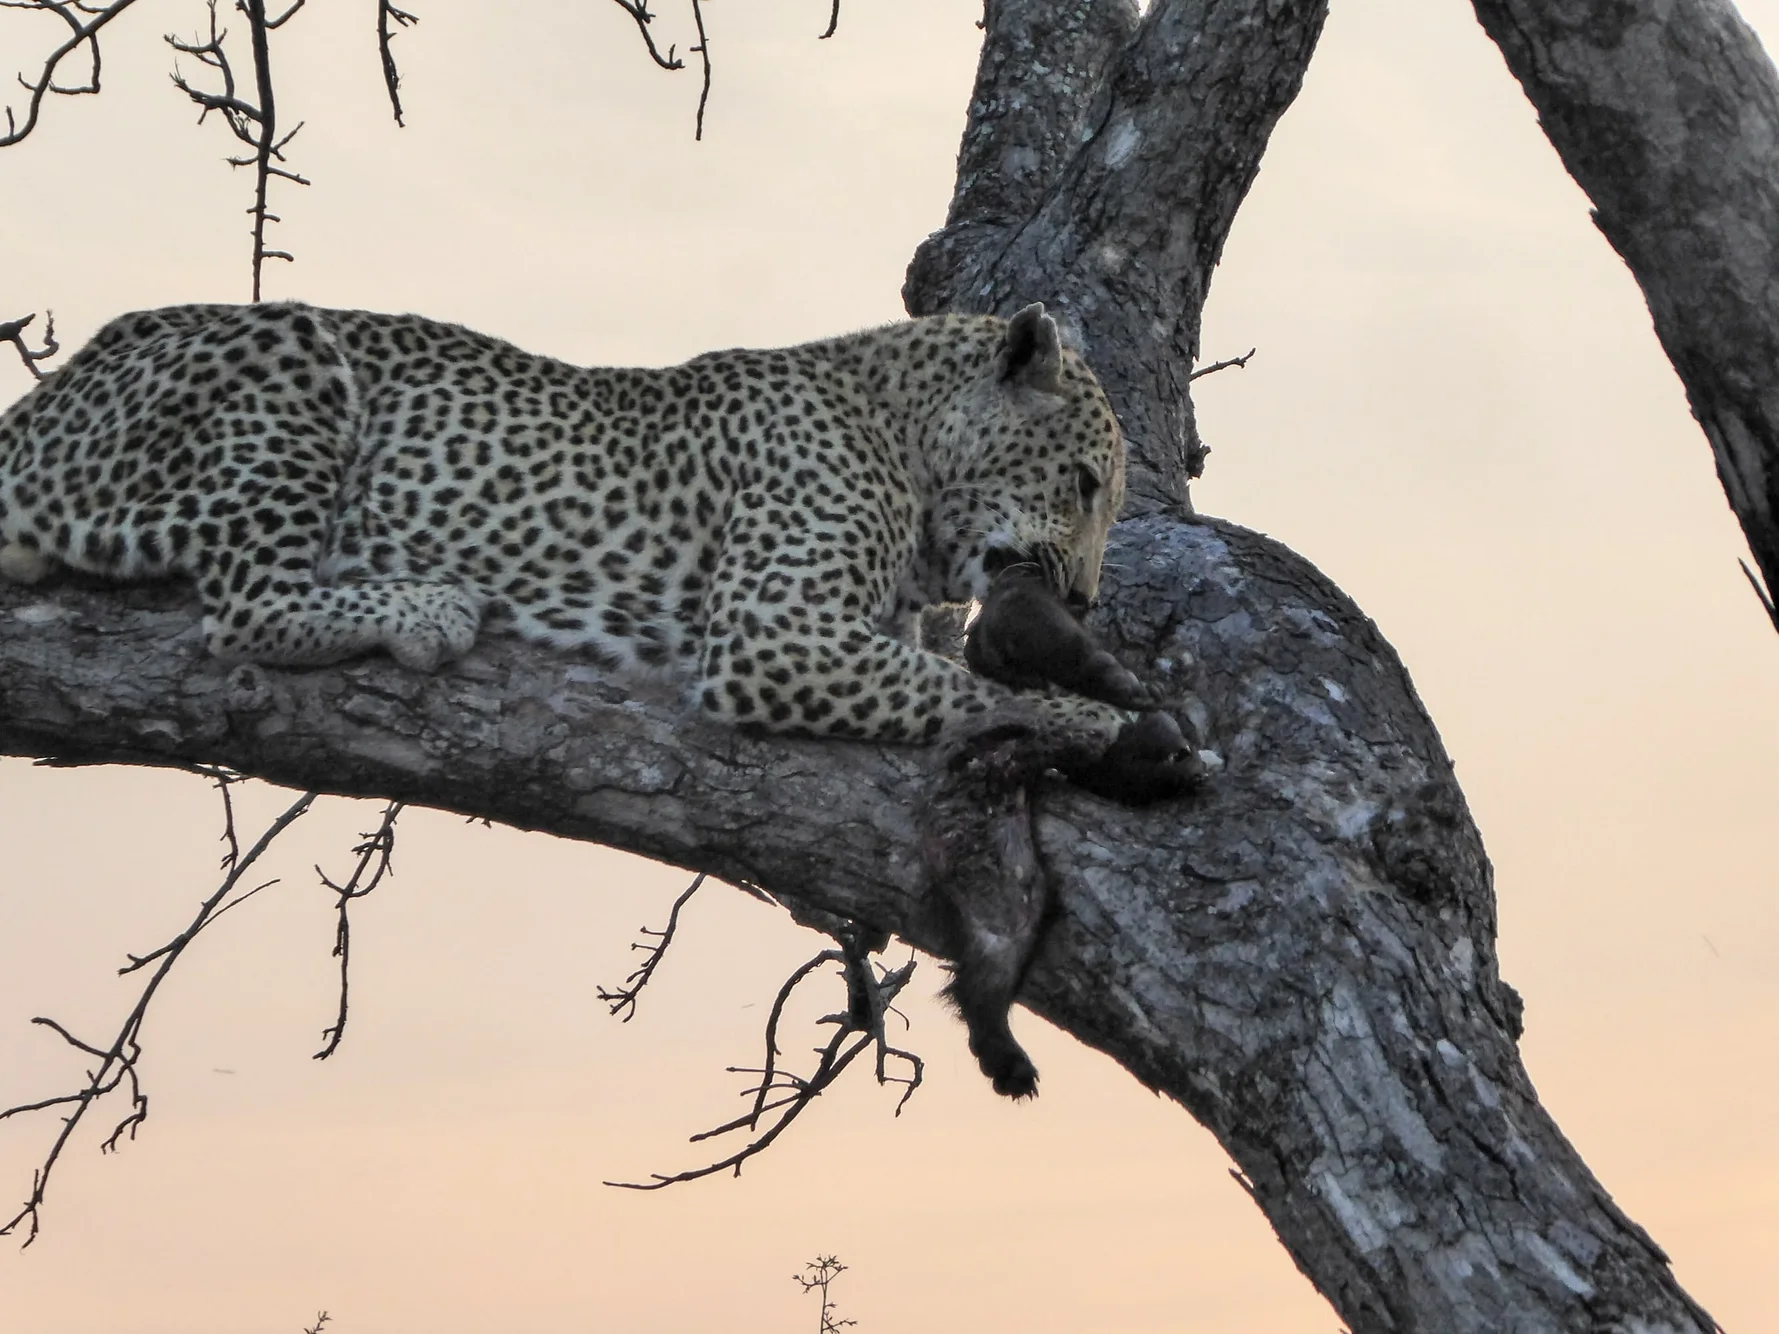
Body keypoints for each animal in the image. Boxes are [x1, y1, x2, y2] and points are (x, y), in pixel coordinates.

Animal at [0, 299, 1136, 747]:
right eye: (1084, 482)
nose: (1081, 599)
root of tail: (40, 400)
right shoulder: (772, 632)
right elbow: (970, 694)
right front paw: (1112, 731)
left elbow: (953, 673)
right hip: (291, 349)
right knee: (243, 609)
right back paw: (429, 608)